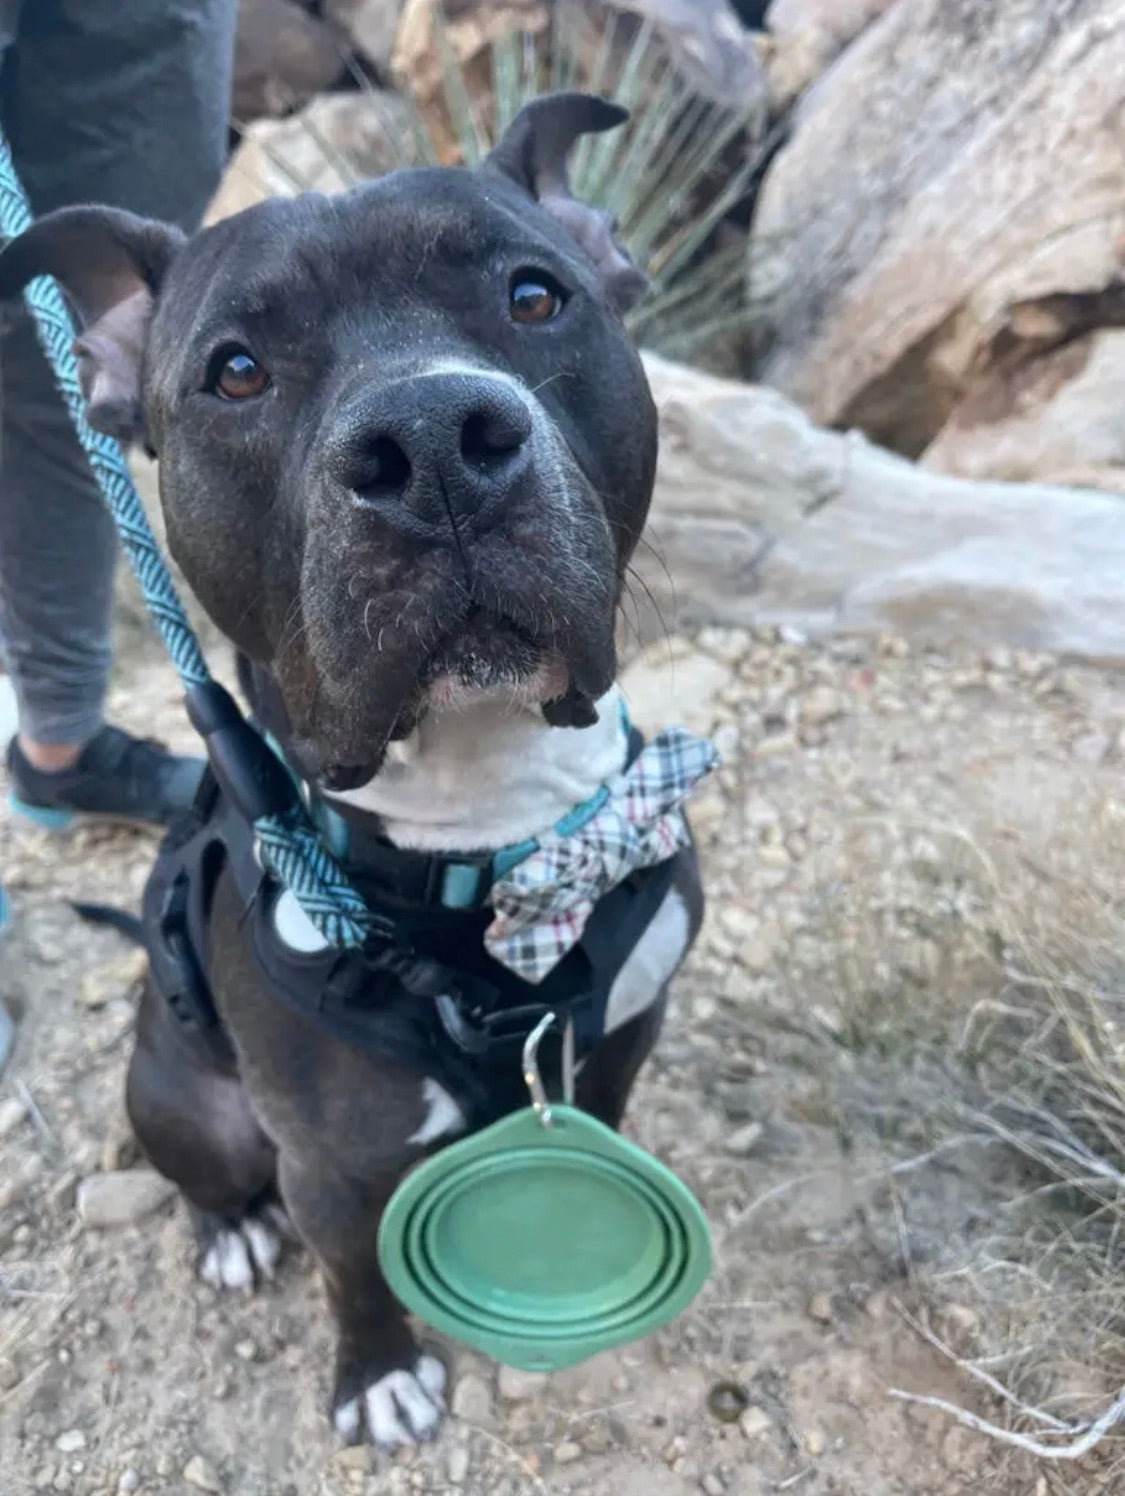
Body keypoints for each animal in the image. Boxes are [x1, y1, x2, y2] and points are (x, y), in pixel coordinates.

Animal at [0, 93, 703, 1448]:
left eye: (535, 296)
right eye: (235, 370)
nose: (431, 441)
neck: (487, 831)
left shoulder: (627, 1025)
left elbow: (601, 1118)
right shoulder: (330, 1160)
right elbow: (354, 1270)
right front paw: (377, 1374)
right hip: (193, 1104)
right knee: (208, 1174)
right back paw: (229, 1230)